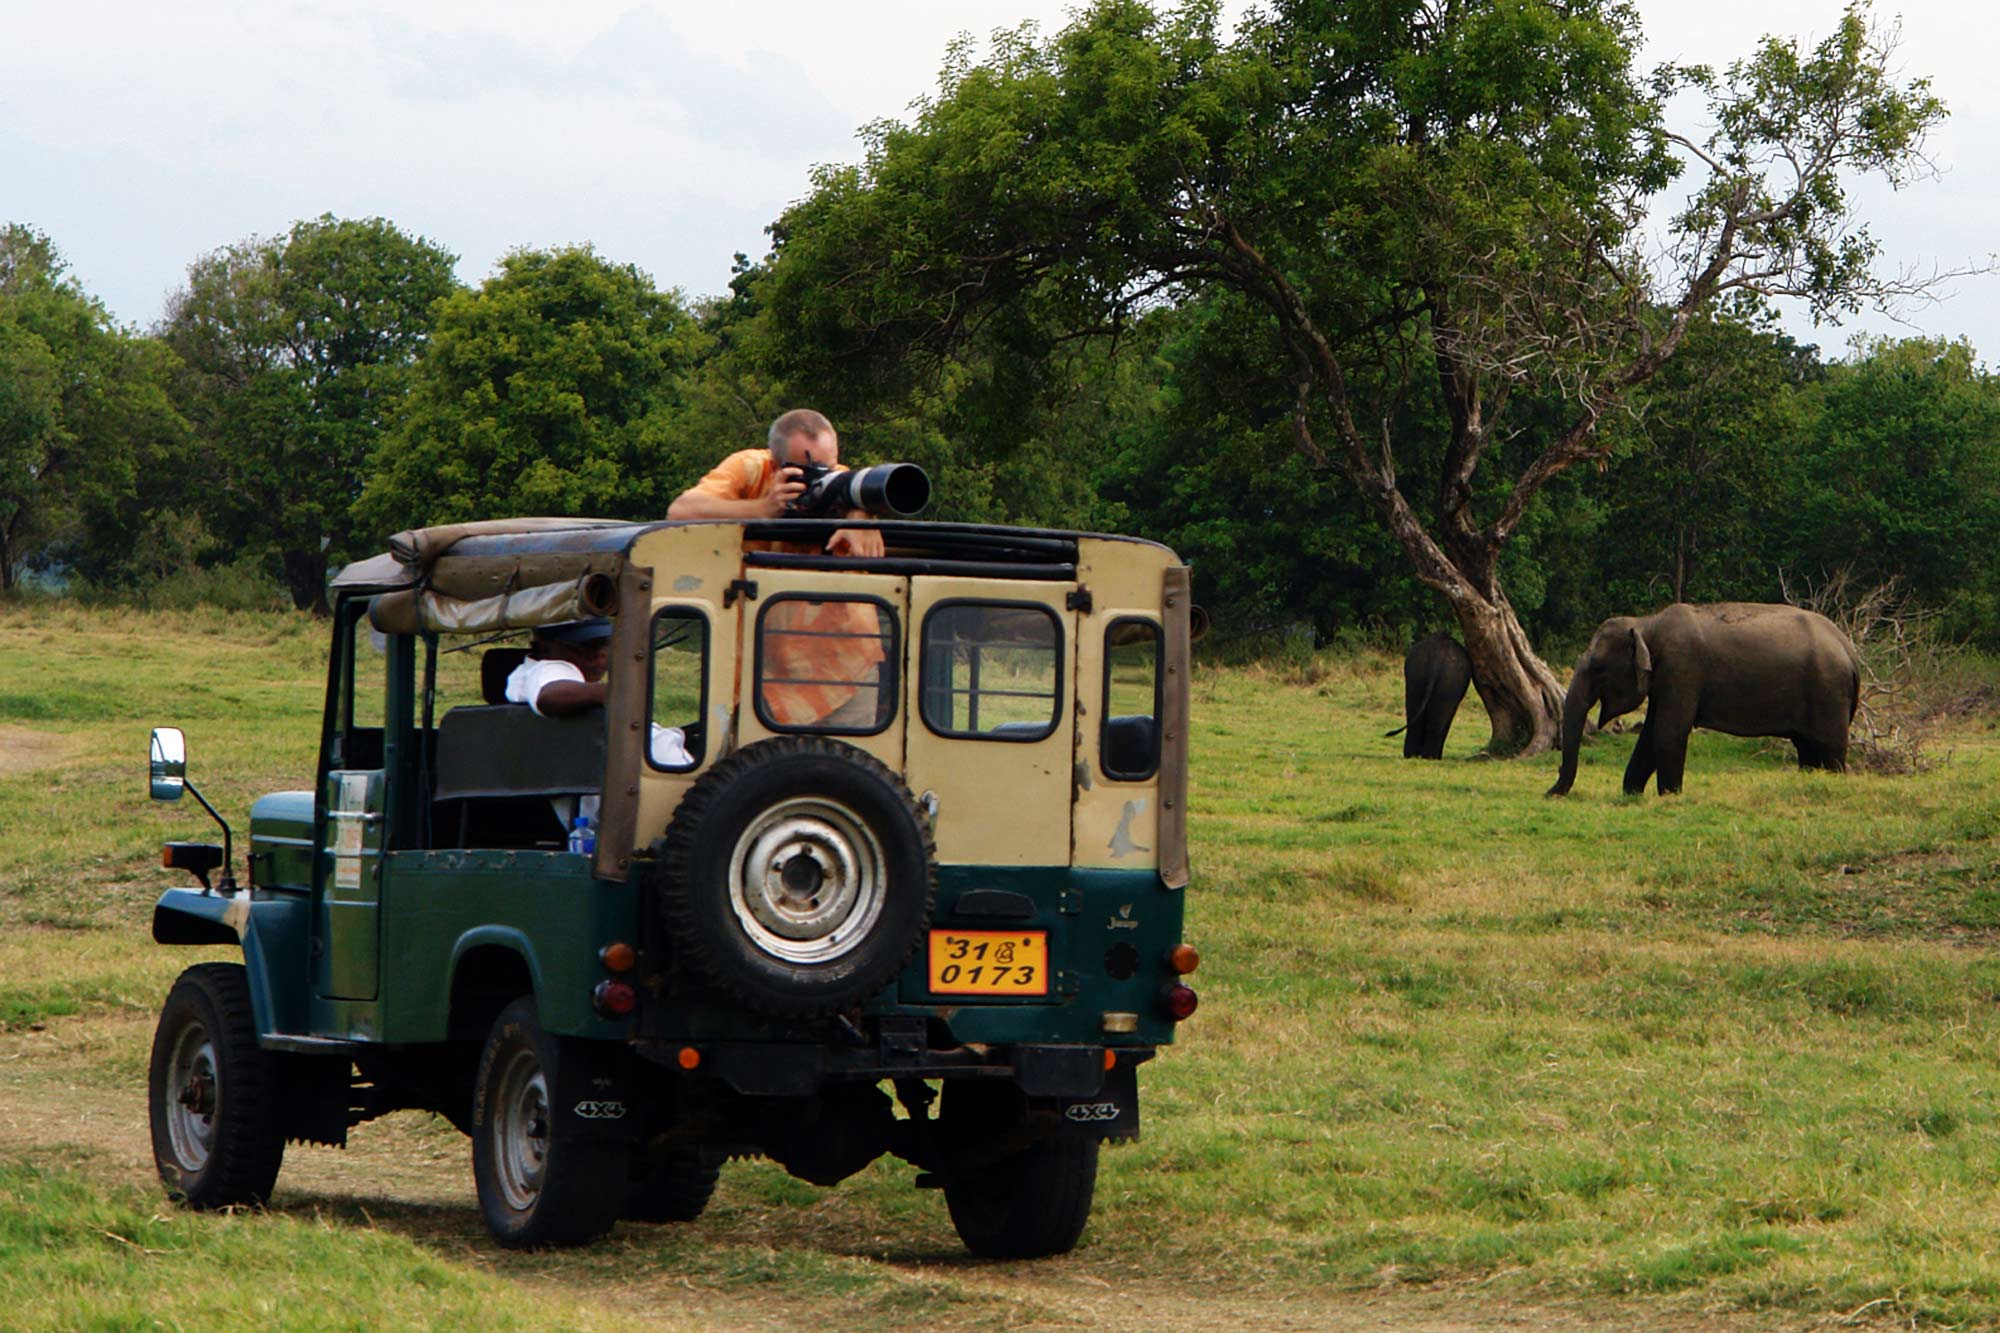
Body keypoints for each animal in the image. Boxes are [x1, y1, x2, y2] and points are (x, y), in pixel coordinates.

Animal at [1544, 604, 1856, 800]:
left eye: (1597, 668)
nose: (1548, 794)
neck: (1647, 622)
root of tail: (1849, 649)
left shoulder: (1682, 668)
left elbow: (1669, 731)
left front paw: (1669, 796)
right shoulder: (1665, 679)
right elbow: (1649, 733)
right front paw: (1632, 794)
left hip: (1829, 694)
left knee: (1829, 750)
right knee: (1807, 749)